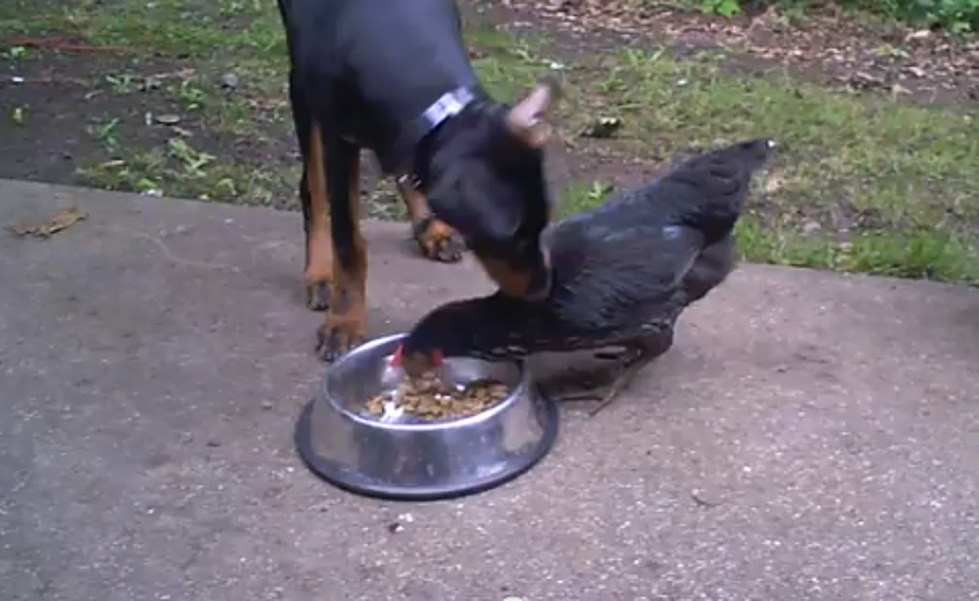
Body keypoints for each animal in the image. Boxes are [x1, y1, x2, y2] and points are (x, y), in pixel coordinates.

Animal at [280, 0, 564, 360]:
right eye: (513, 239)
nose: (544, 288)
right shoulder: (337, 136)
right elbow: (346, 242)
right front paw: (344, 323)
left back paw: (431, 229)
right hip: (303, 85)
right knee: (313, 187)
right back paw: (318, 274)